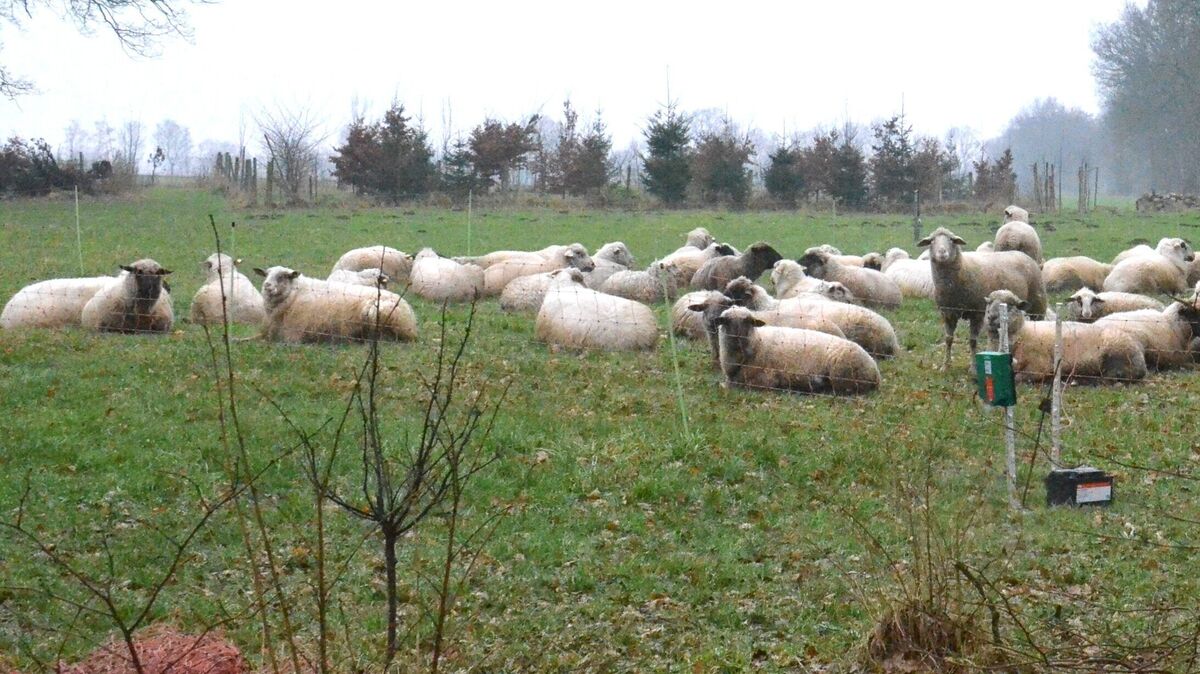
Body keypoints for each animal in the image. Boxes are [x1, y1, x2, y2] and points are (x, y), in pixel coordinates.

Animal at [253, 266, 417, 344]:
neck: (294, 295)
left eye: (283, 276)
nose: (267, 286)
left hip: (376, 312)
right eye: (266, 274)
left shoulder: (293, 336)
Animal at [712, 306, 881, 396]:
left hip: (842, 377)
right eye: (726, 321)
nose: (737, 337)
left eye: (749, 321)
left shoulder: (765, 379)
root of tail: (876, 372)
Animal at [917, 227, 1047, 369]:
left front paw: (973, 367)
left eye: (952, 240)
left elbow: (973, 341)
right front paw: (945, 365)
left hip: (1038, 303)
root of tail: (1023, 255)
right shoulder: (948, 313)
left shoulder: (977, 314)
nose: (942, 252)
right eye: (932, 241)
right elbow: (948, 339)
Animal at [983, 290, 1146, 384]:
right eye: (989, 303)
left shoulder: (1040, 366)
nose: (991, 317)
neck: (1022, 333)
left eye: (1010, 305)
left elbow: (1019, 377)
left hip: (1116, 354)